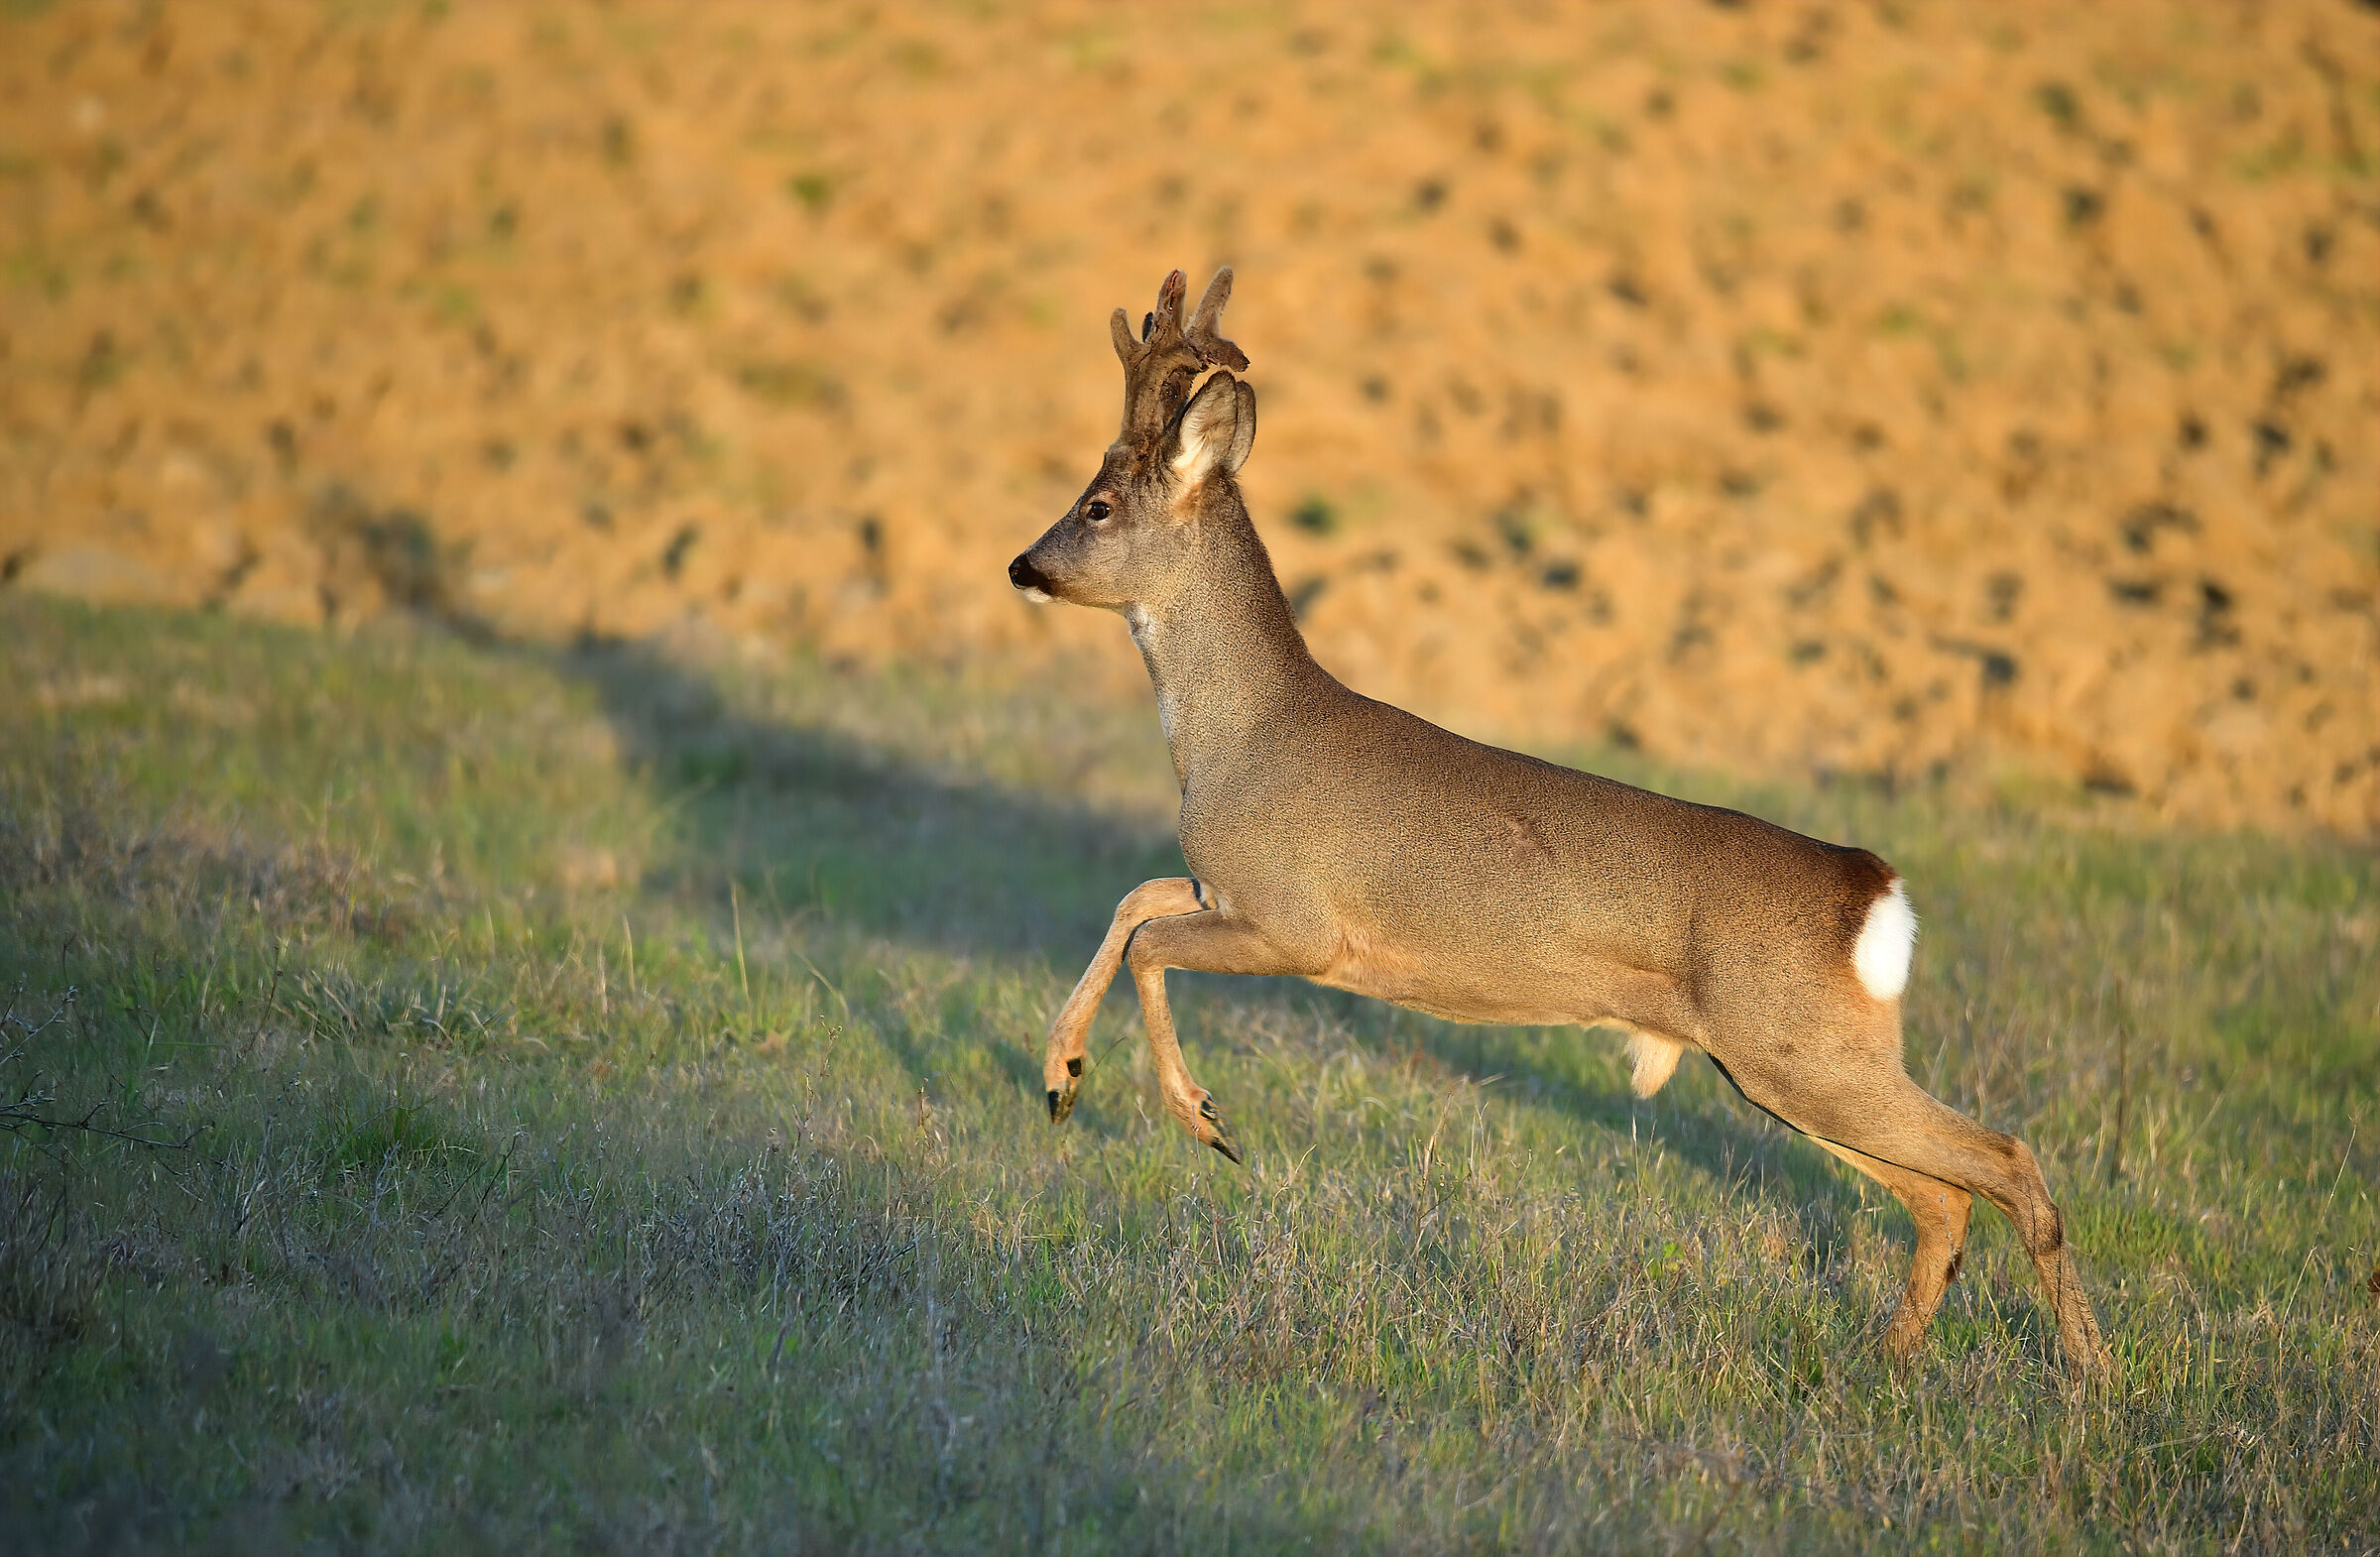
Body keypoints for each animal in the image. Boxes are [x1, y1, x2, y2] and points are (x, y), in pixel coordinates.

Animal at [1007, 267, 2113, 1376]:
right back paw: (1893, 1356)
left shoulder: (1298, 925)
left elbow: (1148, 939)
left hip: (1800, 1051)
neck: (1235, 737)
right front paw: (1061, 1077)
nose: (1021, 565)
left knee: (2008, 1162)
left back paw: (2089, 1375)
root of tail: (1874, 889)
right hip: (1792, 1061)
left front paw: (1202, 1120)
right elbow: (1133, 901)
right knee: (1944, 1197)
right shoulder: (1228, 890)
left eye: (1097, 505)